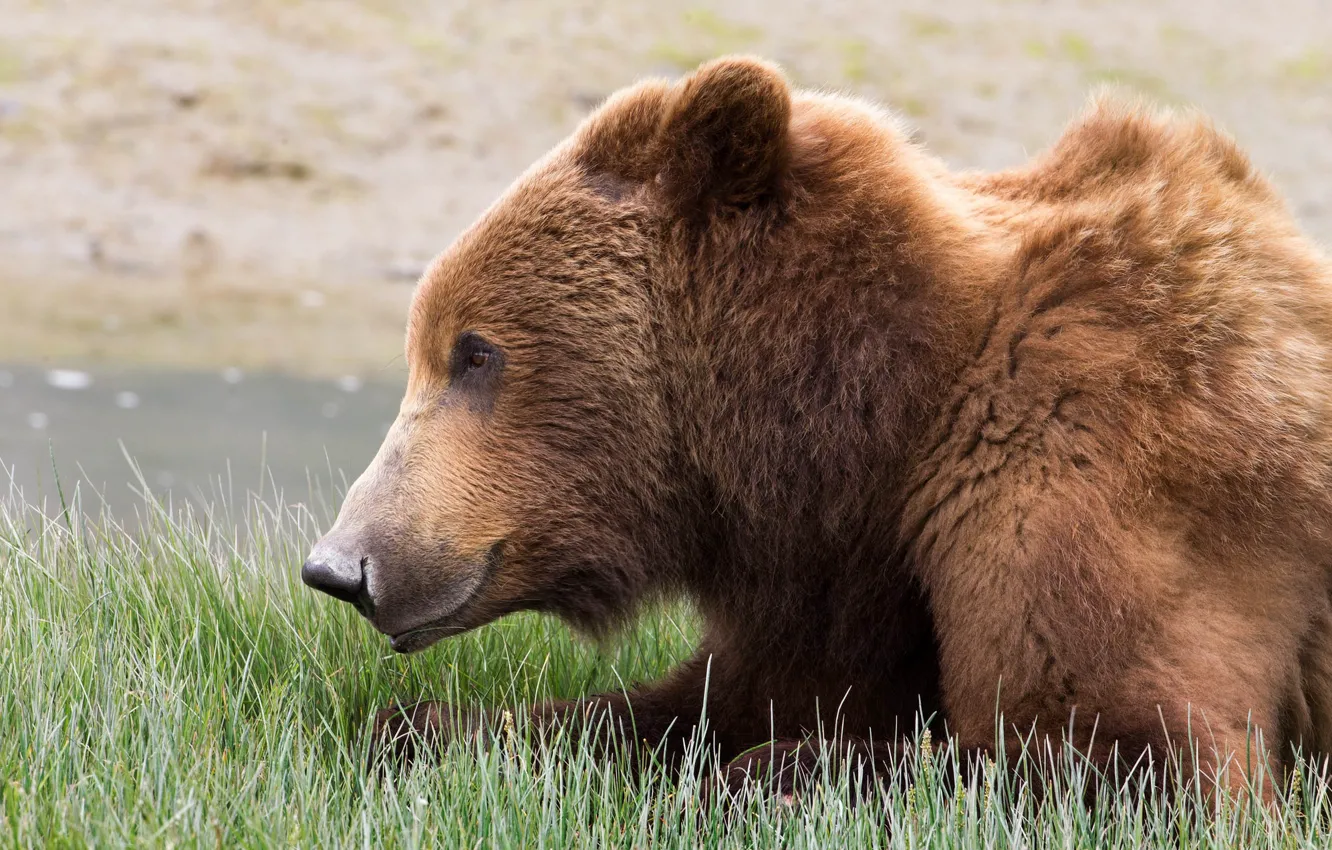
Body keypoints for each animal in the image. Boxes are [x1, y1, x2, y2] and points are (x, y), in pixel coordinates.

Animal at [302, 56, 1332, 799]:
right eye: (429, 347)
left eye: (475, 353)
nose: (340, 565)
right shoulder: (841, 572)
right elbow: (702, 701)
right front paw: (419, 728)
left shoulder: (1089, 459)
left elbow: (1131, 747)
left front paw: (776, 771)